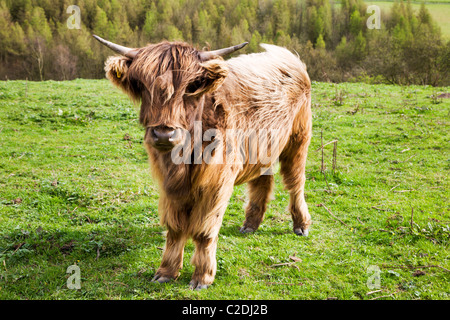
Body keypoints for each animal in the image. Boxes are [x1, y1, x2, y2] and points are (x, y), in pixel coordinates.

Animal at [94, 35, 312, 290]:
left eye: (190, 88)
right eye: (142, 86)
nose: (163, 134)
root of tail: (288, 56)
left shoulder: (217, 182)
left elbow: (204, 229)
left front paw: (202, 276)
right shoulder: (169, 183)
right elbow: (175, 228)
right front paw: (166, 271)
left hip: (298, 139)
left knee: (295, 182)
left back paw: (301, 225)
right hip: (262, 147)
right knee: (262, 181)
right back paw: (250, 224)